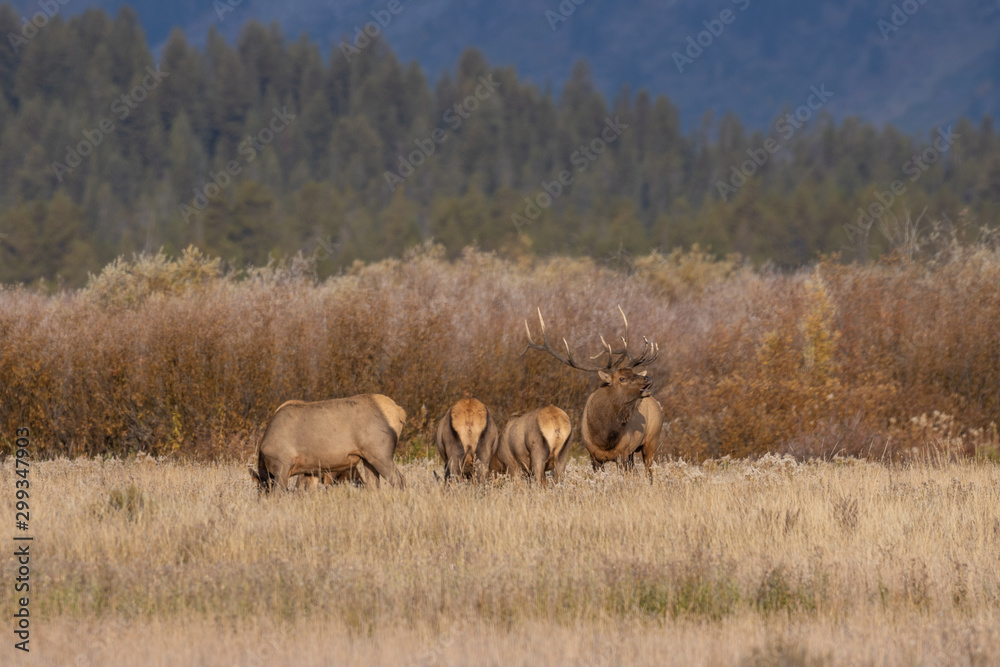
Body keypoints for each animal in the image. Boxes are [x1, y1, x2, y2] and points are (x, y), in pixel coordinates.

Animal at [523, 306, 663, 481]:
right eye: (622, 378)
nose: (648, 378)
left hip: (652, 440)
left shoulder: (623, 452)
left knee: (650, 472)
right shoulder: (593, 455)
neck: (604, 436)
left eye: (633, 373)